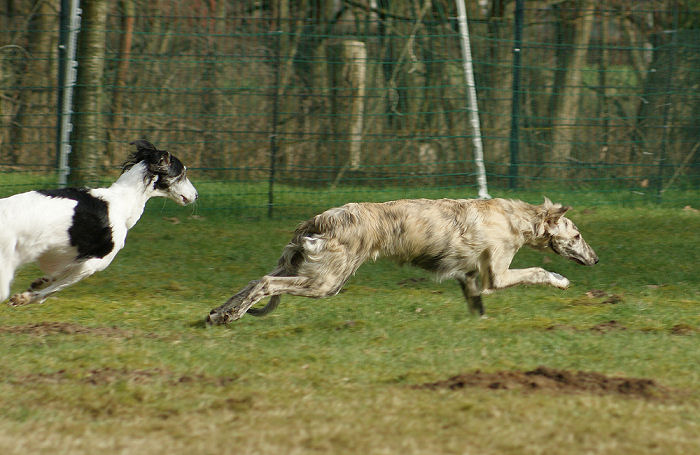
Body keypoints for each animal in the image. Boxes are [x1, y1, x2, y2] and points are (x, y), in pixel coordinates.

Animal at [0, 141, 197, 308]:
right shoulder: (93, 265)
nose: (196, 196)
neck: (123, 200)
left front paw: (38, 284)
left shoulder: (71, 260)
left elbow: (54, 278)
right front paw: (25, 298)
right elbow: (53, 289)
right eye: (182, 173)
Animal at [206, 197, 596, 324]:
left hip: (297, 265)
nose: (594, 259)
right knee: (265, 283)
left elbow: (475, 298)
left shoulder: (470, 275)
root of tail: (320, 219)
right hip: (326, 281)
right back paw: (230, 316)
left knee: (252, 281)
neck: (517, 218)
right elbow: (539, 270)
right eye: (577, 236)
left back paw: (217, 313)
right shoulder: (496, 274)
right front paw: (561, 280)